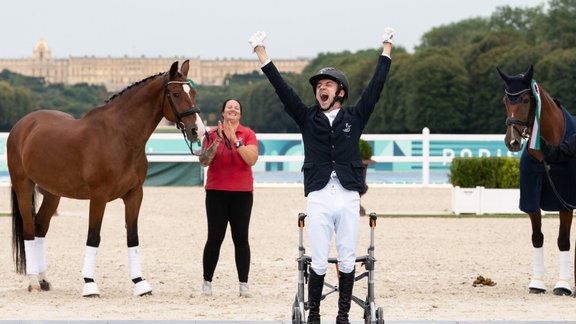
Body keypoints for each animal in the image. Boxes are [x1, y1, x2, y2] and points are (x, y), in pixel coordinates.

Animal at [7, 60, 205, 296]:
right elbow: (94, 236)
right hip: (23, 187)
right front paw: (89, 284)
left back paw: (44, 280)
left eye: (193, 92)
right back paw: (34, 282)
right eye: (175, 94)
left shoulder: (134, 195)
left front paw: (140, 283)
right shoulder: (98, 197)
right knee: (29, 230)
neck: (119, 136)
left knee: (40, 228)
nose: (198, 130)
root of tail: (22, 125)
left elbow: (132, 237)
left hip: (52, 193)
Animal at [498, 65, 572, 296]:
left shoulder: (565, 202)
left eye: (525, 100)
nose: (512, 141)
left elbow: (563, 240)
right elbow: (537, 237)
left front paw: (563, 285)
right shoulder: (532, 200)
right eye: (505, 100)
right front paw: (537, 283)